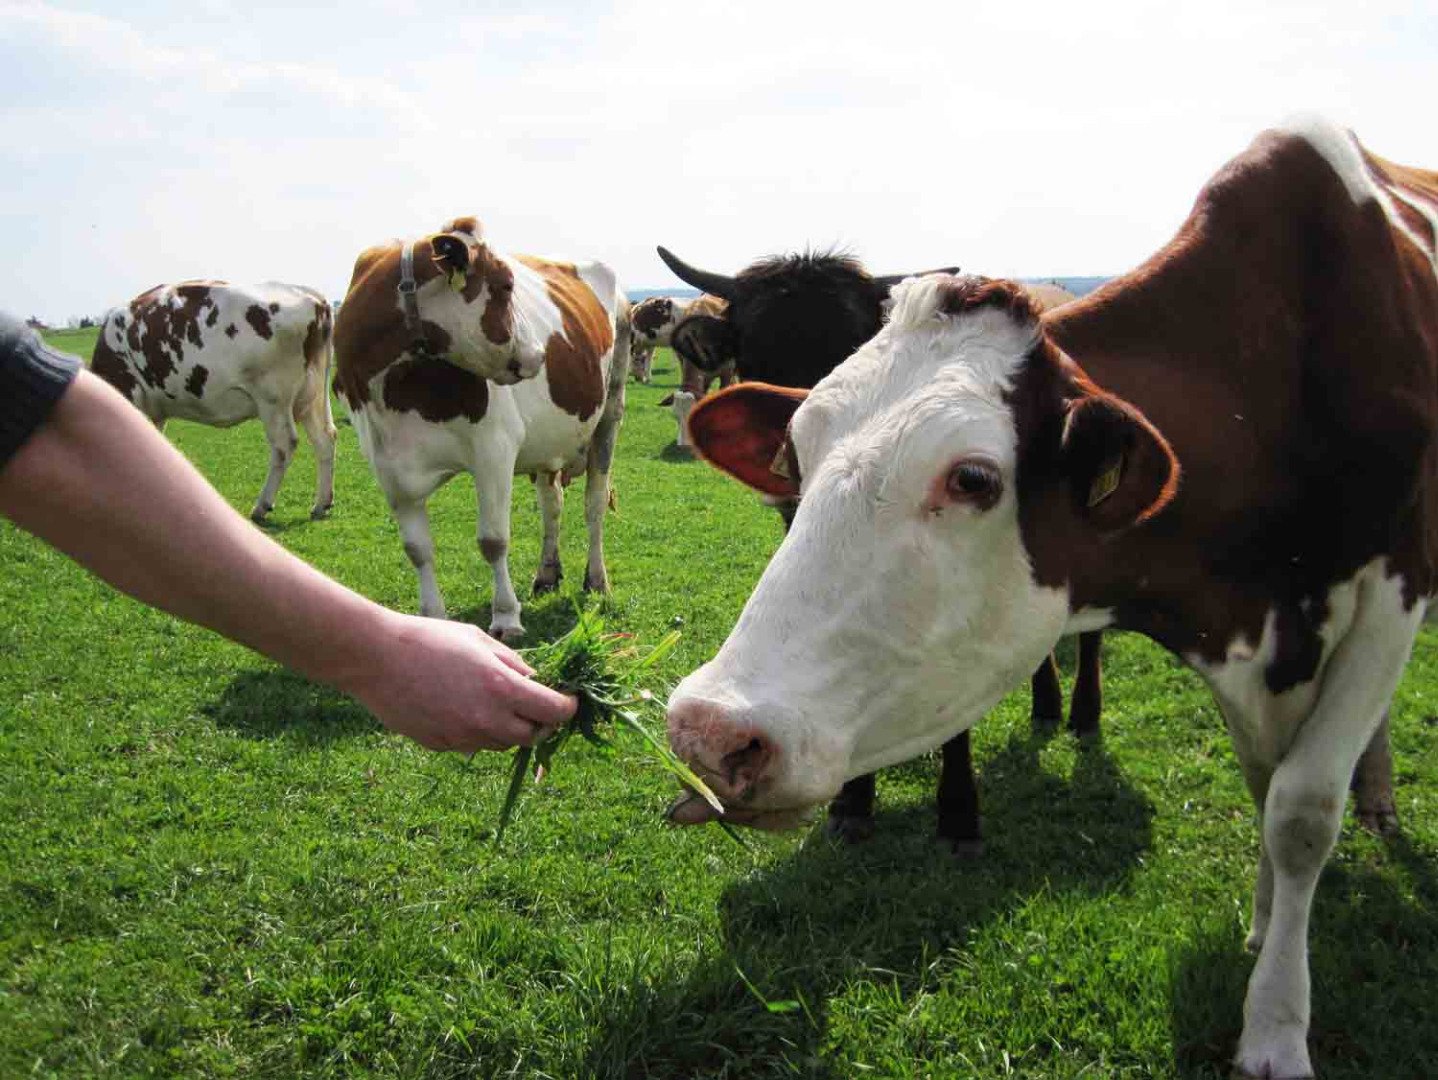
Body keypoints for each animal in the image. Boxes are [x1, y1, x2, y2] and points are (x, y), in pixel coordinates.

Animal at [92, 280, 336, 520]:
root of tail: (312, 297)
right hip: (310, 397)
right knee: (325, 438)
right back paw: (321, 504)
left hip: (273, 398)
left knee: (284, 445)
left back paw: (261, 506)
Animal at [339, 220, 632, 641]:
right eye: (507, 285)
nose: (539, 355)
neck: (400, 384)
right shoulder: (388, 467)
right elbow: (417, 550)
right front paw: (434, 619)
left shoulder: (494, 449)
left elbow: (493, 540)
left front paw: (506, 617)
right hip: (548, 443)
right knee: (552, 504)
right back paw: (547, 573)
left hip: (610, 414)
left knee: (593, 504)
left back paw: (596, 579)